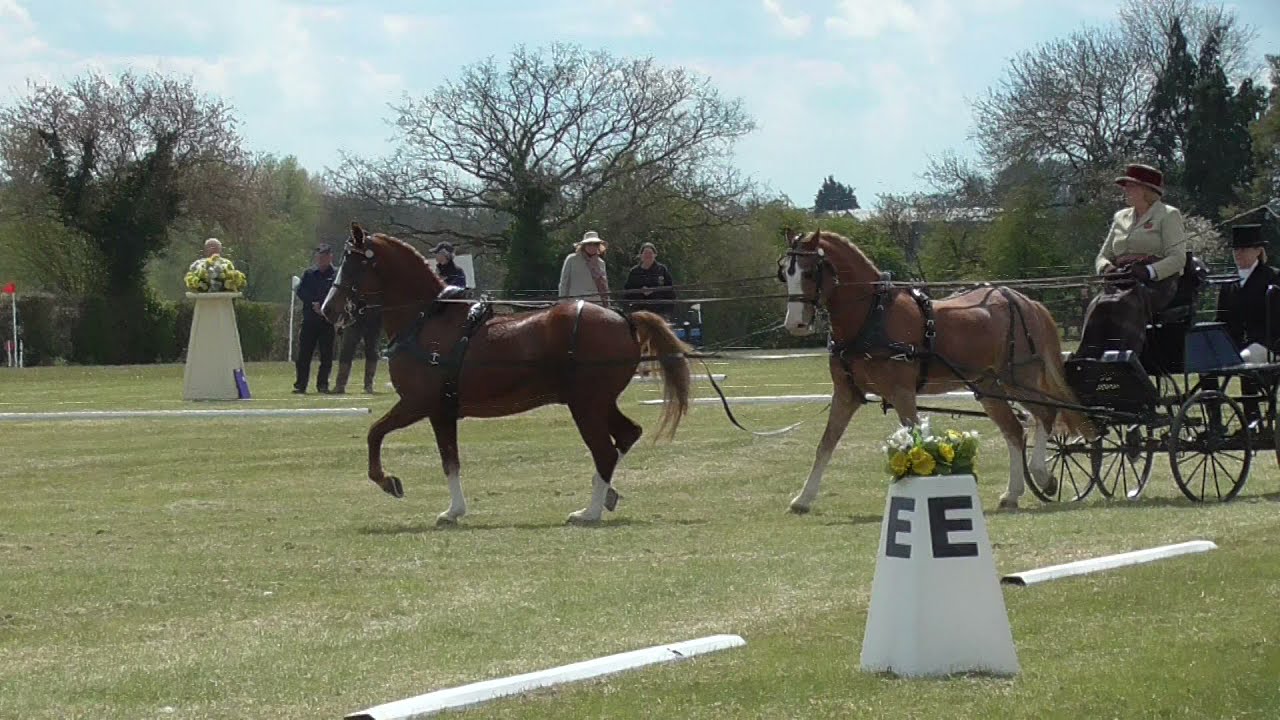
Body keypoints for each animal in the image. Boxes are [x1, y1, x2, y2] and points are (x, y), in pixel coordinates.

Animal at [320, 223, 693, 525]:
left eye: (351, 263)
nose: (328, 309)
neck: (426, 319)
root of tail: (624, 319)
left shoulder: (418, 403)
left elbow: (375, 433)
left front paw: (389, 482)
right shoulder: (442, 412)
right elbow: (449, 461)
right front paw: (453, 511)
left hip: (586, 406)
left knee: (606, 450)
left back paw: (589, 512)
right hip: (598, 403)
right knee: (627, 435)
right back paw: (605, 497)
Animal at [777, 230, 1094, 511]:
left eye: (809, 272)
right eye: (785, 274)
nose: (795, 324)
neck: (872, 315)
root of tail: (1025, 300)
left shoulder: (902, 393)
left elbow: (915, 443)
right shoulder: (846, 394)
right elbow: (825, 444)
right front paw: (803, 499)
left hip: (1018, 378)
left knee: (1046, 413)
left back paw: (1043, 475)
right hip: (989, 387)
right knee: (1015, 431)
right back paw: (1012, 494)